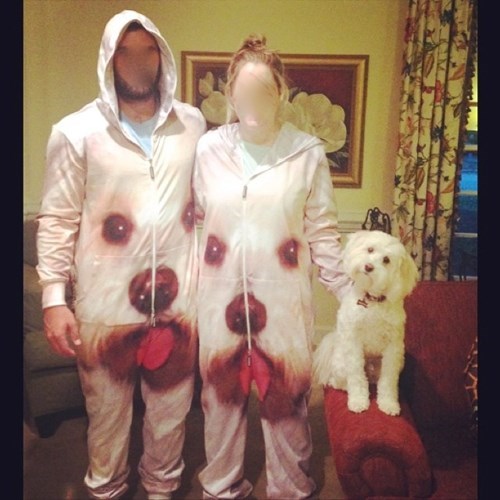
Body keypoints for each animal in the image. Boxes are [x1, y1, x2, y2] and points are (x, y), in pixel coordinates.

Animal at [313, 230, 419, 415]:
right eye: (370, 249)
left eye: (386, 260)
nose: (368, 266)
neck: (372, 302)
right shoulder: (354, 343)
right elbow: (356, 375)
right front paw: (358, 401)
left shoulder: (393, 350)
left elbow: (389, 380)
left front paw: (389, 403)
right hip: (341, 362)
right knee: (338, 380)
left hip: (397, 361)